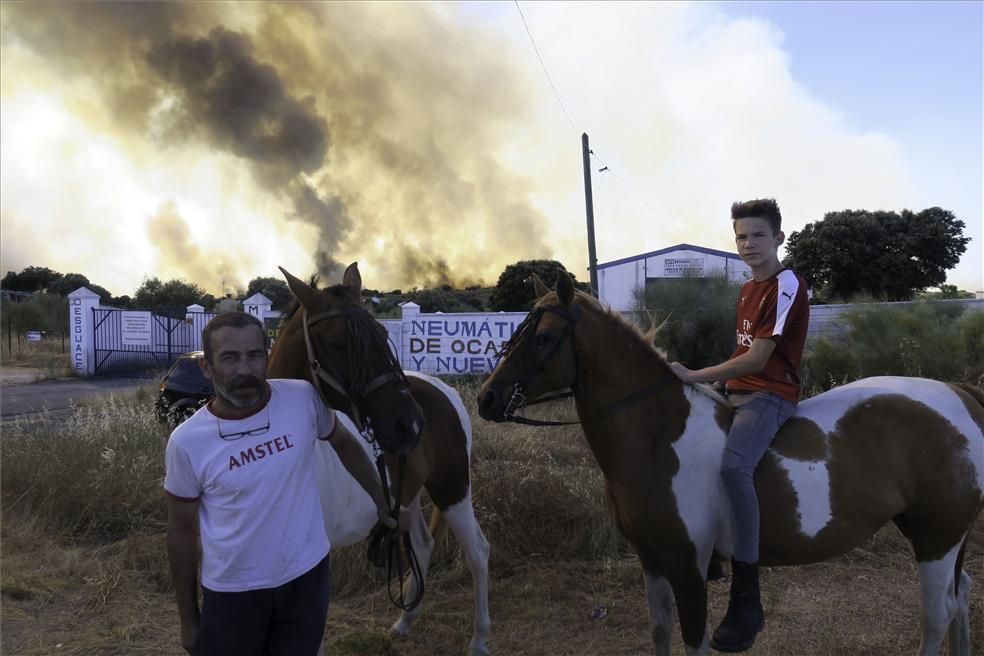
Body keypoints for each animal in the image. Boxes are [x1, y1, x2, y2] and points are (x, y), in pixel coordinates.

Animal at [268, 264, 490, 652]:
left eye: (382, 334)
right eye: (338, 343)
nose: (408, 424)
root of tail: (441, 388)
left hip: (453, 490)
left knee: (478, 552)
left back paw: (478, 640)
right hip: (407, 497)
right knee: (423, 544)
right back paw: (404, 621)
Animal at [478, 272, 984, 656]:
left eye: (543, 338)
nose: (487, 399)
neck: (658, 433)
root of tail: (958, 394)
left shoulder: (688, 566)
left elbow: (693, 641)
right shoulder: (652, 559)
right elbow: (660, 633)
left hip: (937, 537)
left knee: (937, 615)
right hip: (936, 536)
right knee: (959, 599)